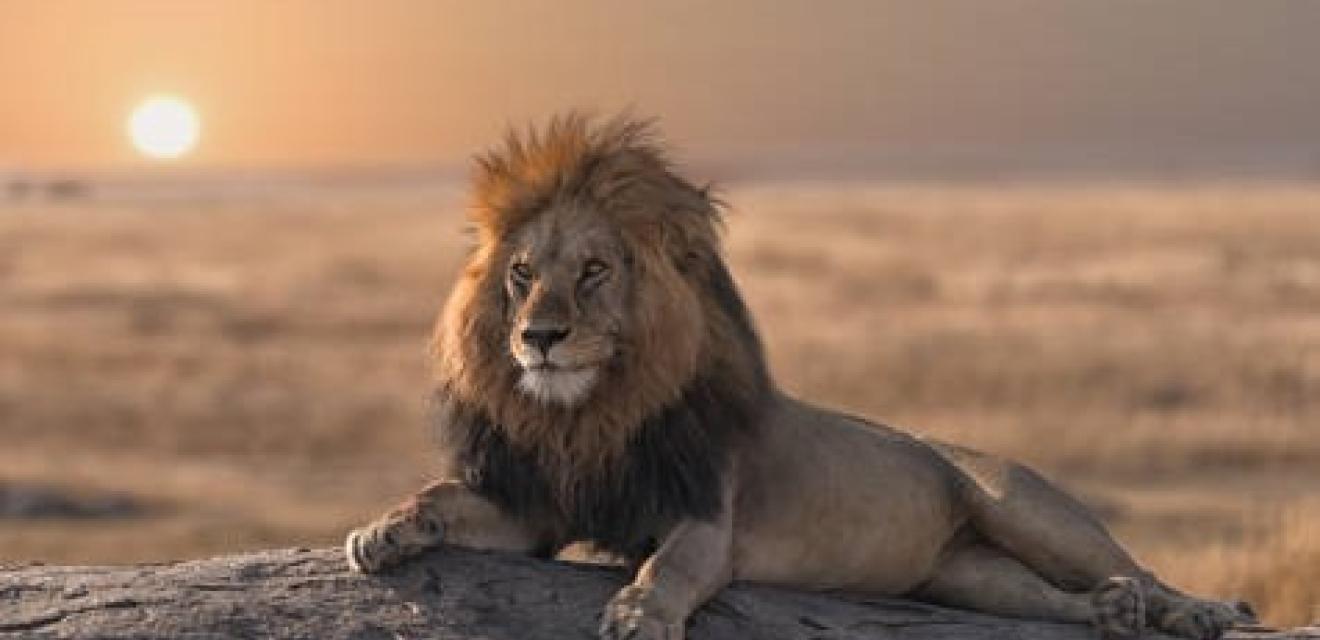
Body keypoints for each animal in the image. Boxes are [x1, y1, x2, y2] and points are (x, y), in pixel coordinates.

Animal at [345, 114, 1257, 640]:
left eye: (596, 271)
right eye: (523, 274)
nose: (538, 338)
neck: (591, 413)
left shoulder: (704, 513)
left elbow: (672, 566)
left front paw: (640, 612)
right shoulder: (538, 505)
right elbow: (441, 499)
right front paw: (383, 532)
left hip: (1025, 508)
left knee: (1136, 567)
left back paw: (1196, 610)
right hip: (967, 576)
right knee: (1055, 599)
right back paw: (1110, 612)